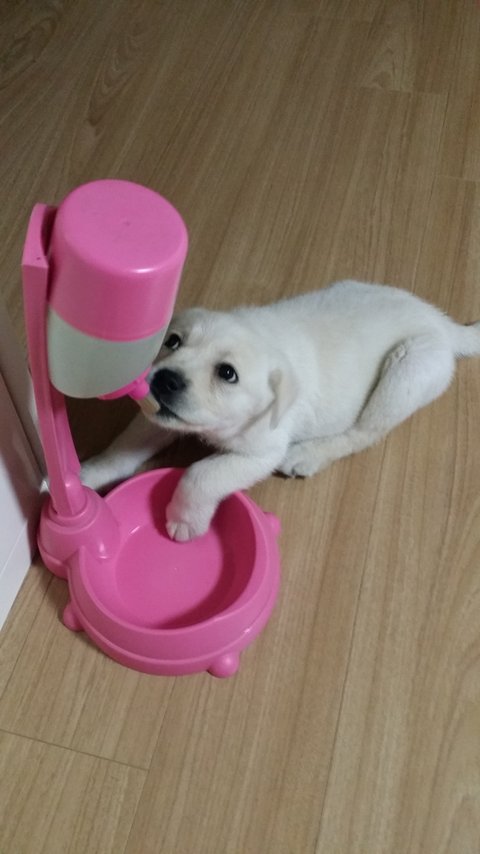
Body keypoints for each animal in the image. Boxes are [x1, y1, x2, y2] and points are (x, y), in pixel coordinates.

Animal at [81, 280, 480, 541]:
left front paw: (184, 519)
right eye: (172, 341)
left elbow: (200, 474)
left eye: (227, 374)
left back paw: (309, 455)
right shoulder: (160, 419)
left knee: (362, 433)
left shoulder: (261, 451)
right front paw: (87, 475)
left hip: (408, 369)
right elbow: (122, 449)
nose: (164, 381)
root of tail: (442, 322)